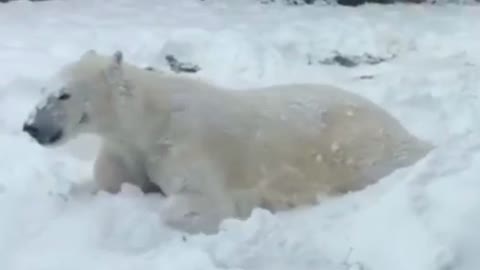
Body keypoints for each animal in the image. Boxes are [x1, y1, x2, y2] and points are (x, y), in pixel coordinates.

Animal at [22, 50, 434, 234]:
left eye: (64, 95)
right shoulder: (126, 152)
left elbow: (201, 200)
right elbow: (111, 180)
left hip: (356, 144)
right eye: (42, 89)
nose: (30, 127)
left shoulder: (185, 145)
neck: (149, 122)